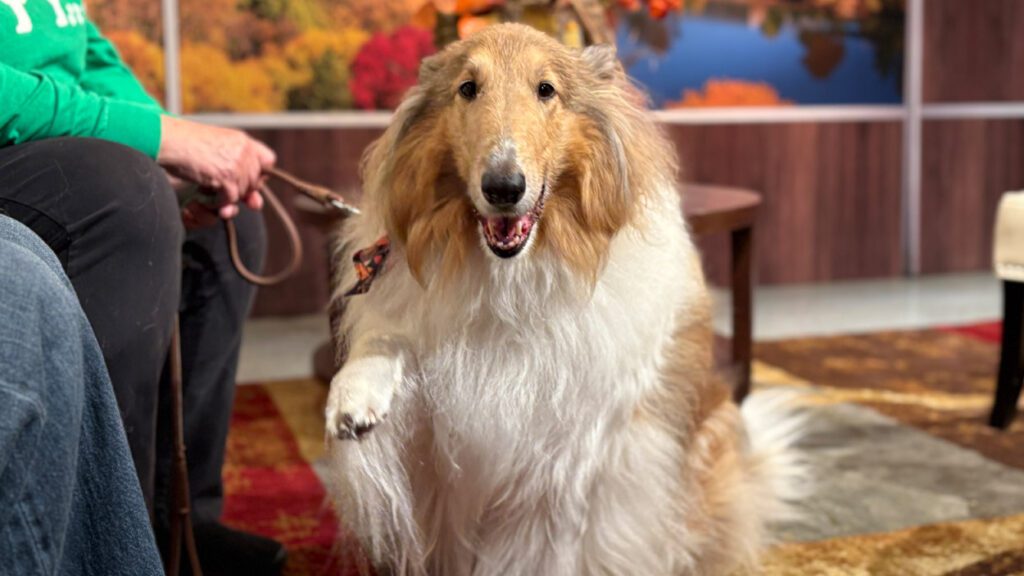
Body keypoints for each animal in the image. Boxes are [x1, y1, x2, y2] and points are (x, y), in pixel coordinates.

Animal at [323, 23, 802, 573]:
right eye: (467, 88)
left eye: (546, 89)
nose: (503, 188)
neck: (509, 281)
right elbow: (383, 342)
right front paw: (350, 403)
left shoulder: (571, 457)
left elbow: (547, 544)